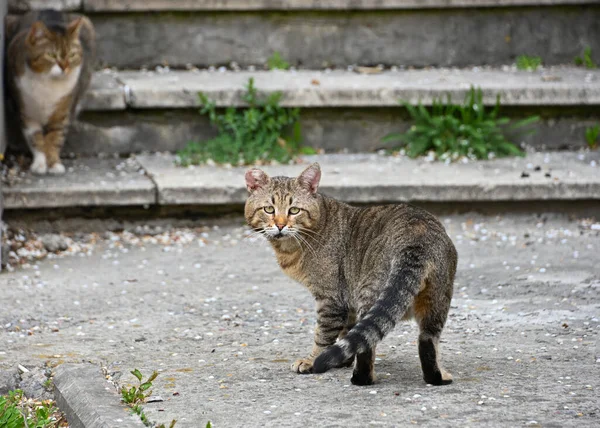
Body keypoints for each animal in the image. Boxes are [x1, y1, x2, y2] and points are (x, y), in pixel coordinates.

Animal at [3, 9, 95, 174]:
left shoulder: (62, 113)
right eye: (51, 55)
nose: (65, 67)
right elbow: (36, 138)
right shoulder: (26, 112)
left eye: (71, 54)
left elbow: (55, 138)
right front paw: (40, 163)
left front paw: (54, 163)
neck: (47, 84)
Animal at [244, 163, 454, 384]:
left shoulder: (330, 298)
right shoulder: (347, 298)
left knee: (368, 345)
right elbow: (349, 332)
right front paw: (340, 359)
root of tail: (415, 237)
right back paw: (436, 377)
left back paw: (361, 379)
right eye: (269, 209)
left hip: (371, 291)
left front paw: (312, 361)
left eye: (294, 210)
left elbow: (324, 336)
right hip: (438, 298)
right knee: (426, 338)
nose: (280, 225)